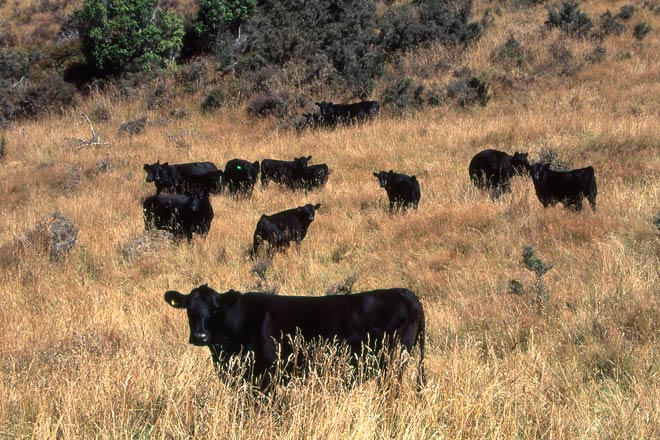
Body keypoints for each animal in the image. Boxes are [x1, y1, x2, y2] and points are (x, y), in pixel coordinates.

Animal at [164, 284, 426, 391]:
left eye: (216, 308)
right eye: (189, 308)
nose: (200, 335)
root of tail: (406, 293)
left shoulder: (266, 377)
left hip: (393, 363)